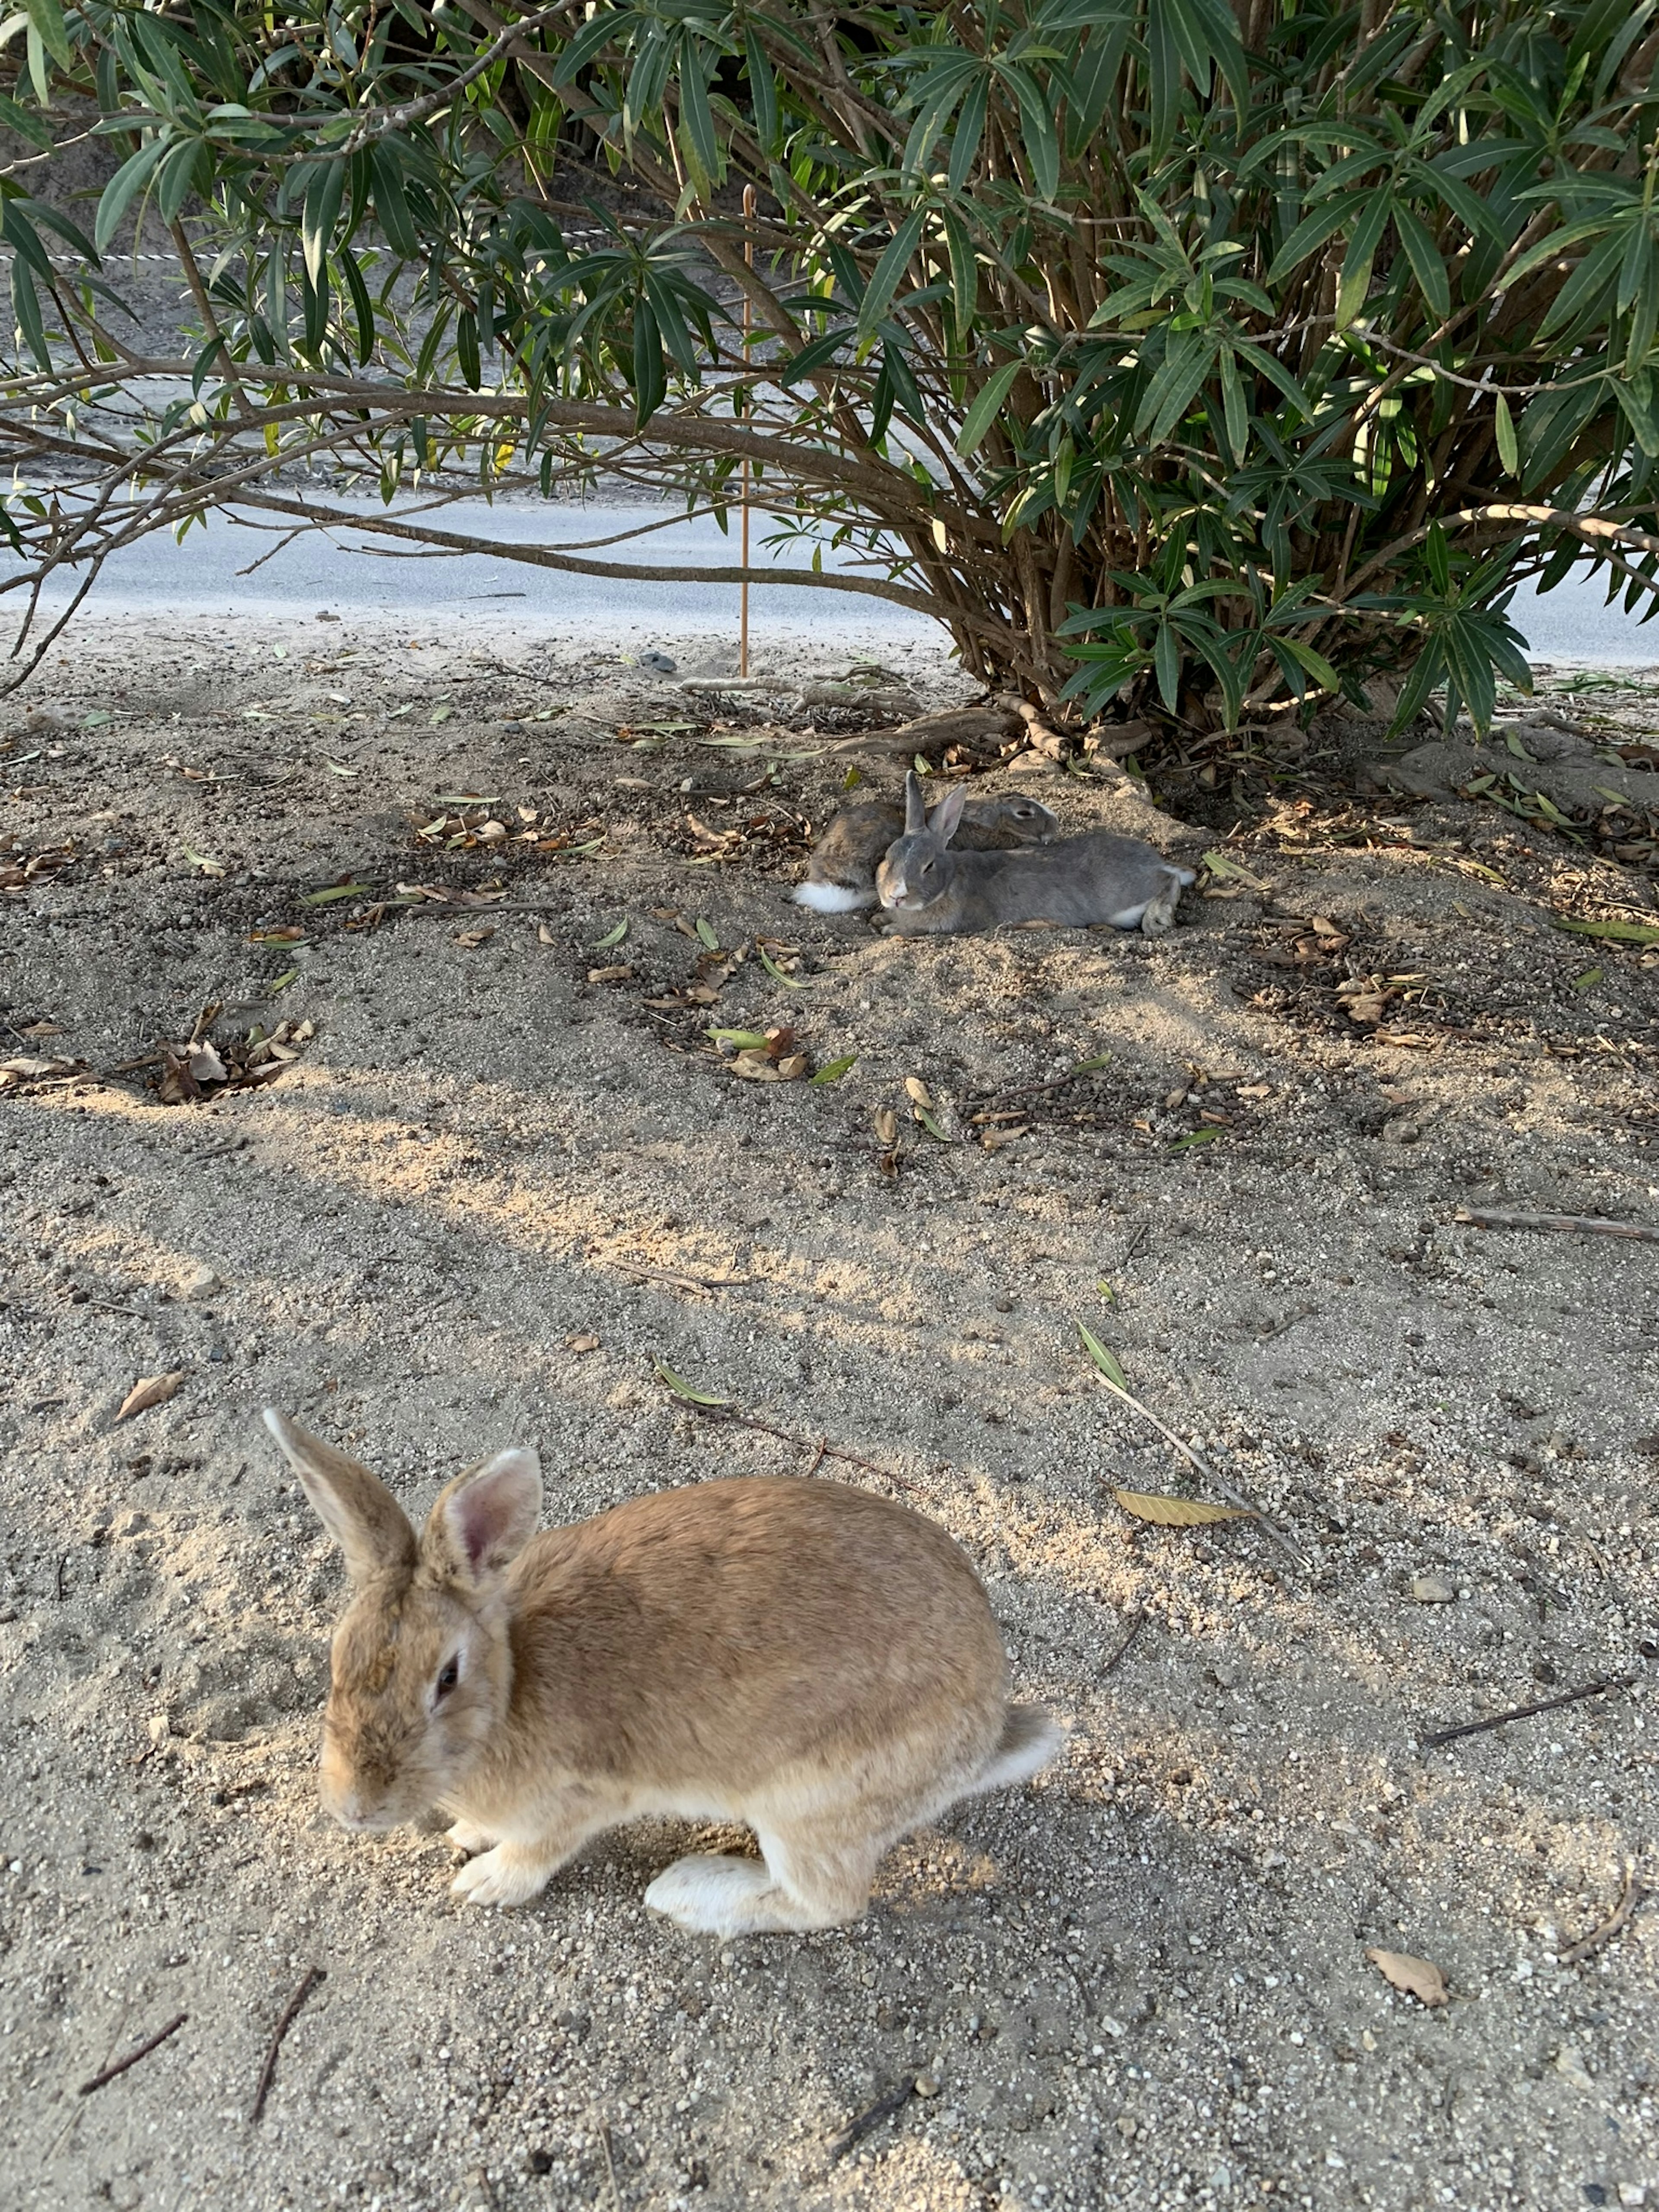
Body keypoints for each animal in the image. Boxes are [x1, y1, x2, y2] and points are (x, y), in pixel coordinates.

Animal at [260, 1415, 1066, 1938]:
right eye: (338, 1655)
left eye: (447, 1677)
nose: (356, 1809)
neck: (509, 1691)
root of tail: (983, 1737)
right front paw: (465, 1835)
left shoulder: (583, 1797)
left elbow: (537, 1852)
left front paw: (485, 1883)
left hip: (806, 1805)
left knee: (828, 1904)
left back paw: (687, 1894)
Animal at [876, 774, 1203, 938]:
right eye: (886, 858)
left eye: (928, 866)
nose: (896, 896)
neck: (949, 883)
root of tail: (1153, 860)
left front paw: (891, 928)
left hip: (1122, 893)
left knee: (1169, 880)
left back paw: (1156, 920)